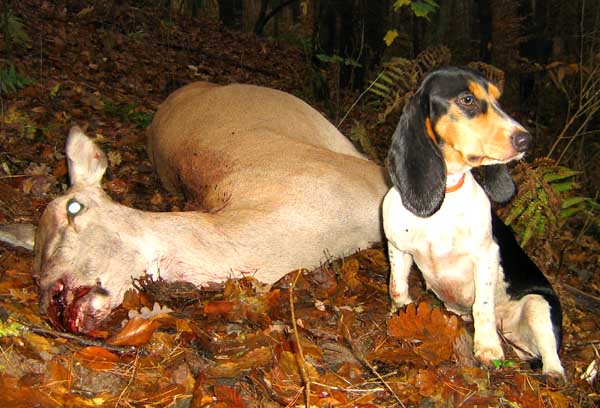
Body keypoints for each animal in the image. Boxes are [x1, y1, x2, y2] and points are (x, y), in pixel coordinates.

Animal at [382, 67, 565, 378]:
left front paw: (487, 349)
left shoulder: (486, 256)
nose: (526, 140)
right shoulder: (398, 248)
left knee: (552, 358)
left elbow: (483, 307)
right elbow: (398, 287)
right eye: (467, 99)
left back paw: (551, 373)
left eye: (498, 100)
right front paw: (401, 313)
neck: (447, 193)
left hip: (539, 305)